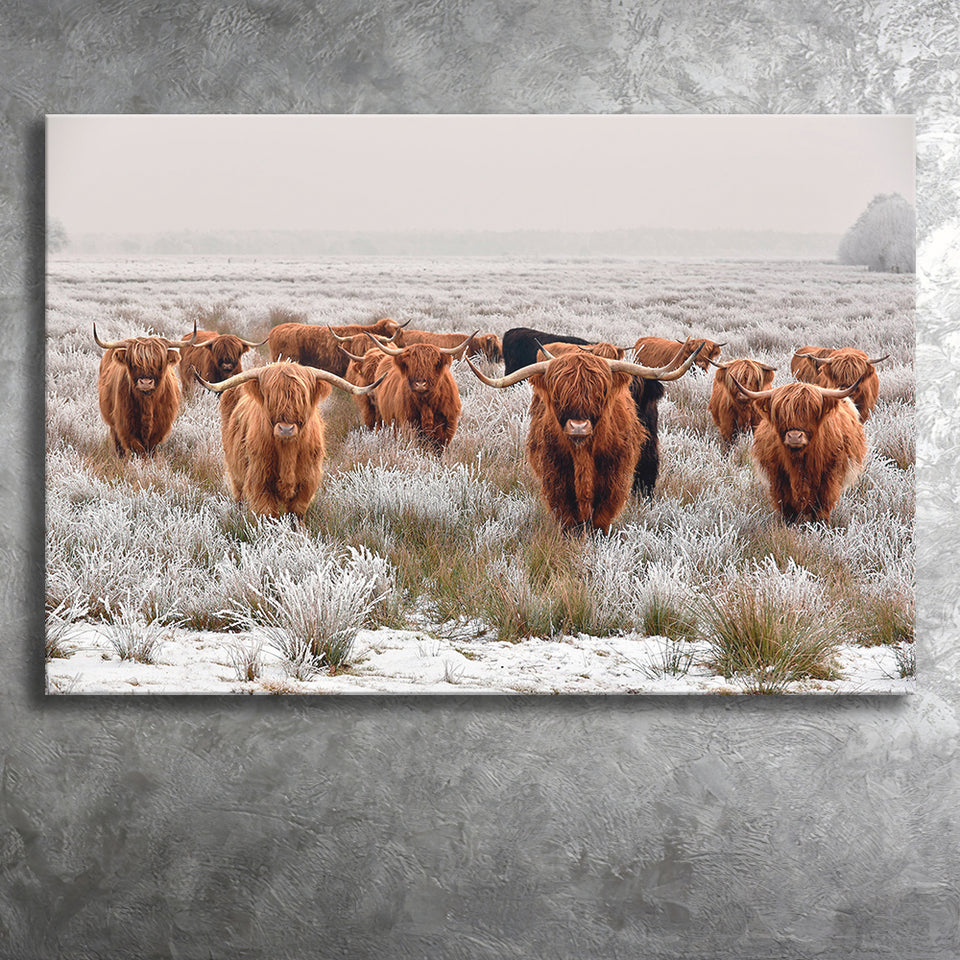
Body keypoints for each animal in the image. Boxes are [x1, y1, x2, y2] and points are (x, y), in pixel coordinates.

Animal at [94, 324, 197, 456]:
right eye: (133, 363)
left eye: (160, 363)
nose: (146, 382)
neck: (147, 403)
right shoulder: (125, 426)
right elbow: (138, 449)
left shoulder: (160, 428)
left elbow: (150, 450)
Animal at [194, 361, 384, 520]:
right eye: (271, 397)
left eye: (302, 398)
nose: (286, 429)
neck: (287, 452)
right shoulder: (259, 480)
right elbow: (268, 514)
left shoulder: (307, 481)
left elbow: (296, 513)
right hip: (235, 471)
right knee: (239, 494)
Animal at [465, 346, 702, 533]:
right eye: (558, 395)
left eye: (601, 393)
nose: (578, 426)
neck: (583, 455)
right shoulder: (555, 476)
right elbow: (568, 515)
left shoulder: (614, 477)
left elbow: (601, 516)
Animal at [730, 375, 868, 524]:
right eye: (780, 413)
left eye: (812, 411)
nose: (794, 436)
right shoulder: (778, 477)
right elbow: (787, 507)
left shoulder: (829, 477)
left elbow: (822, 507)